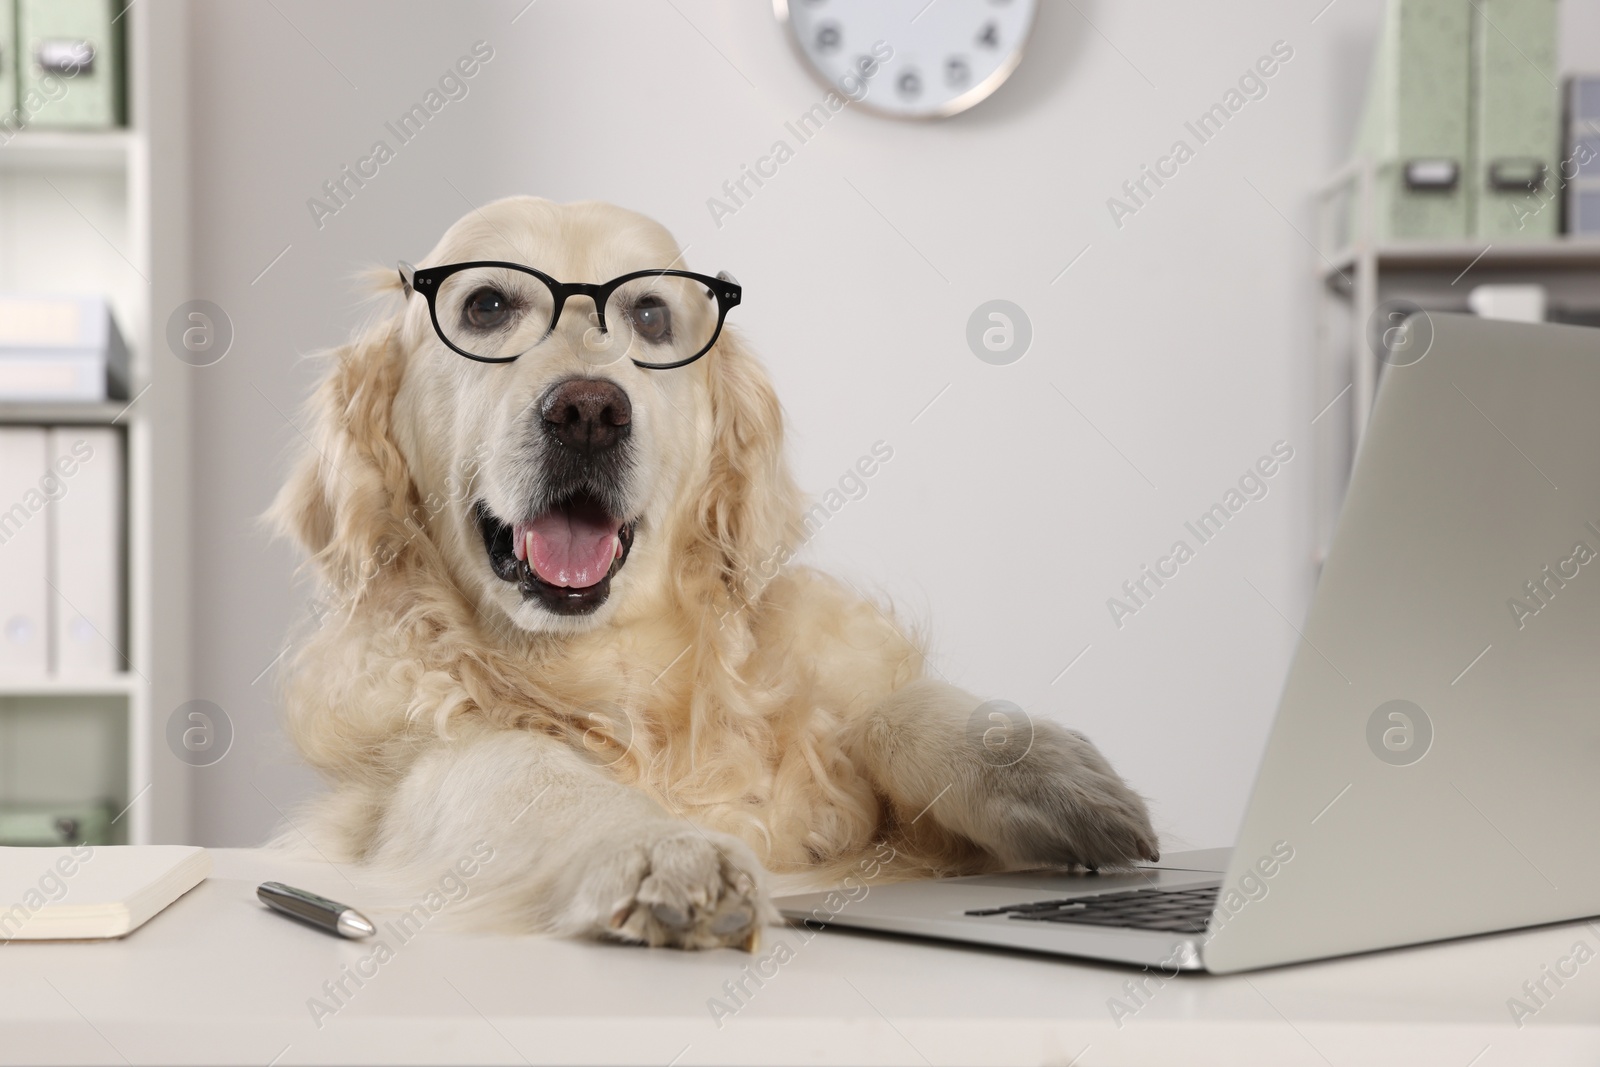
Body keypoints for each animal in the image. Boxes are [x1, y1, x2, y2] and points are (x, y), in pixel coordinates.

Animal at [268, 195, 1158, 947]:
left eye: (651, 314)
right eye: (485, 306)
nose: (588, 412)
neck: (604, 662)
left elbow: (880, 711)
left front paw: (1040, 766)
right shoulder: (402, 785)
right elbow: (528, 768)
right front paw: (662, 847)